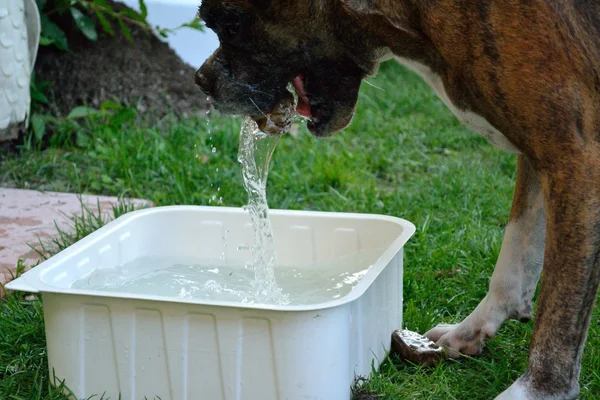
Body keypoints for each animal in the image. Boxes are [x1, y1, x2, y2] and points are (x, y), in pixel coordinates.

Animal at [196, 1, 600, 398]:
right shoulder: (536, 154)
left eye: (232, 27)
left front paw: (537, 389)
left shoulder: (574, 158)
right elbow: (515, 260)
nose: (201, 80)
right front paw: (471, 330)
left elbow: (559, 310)